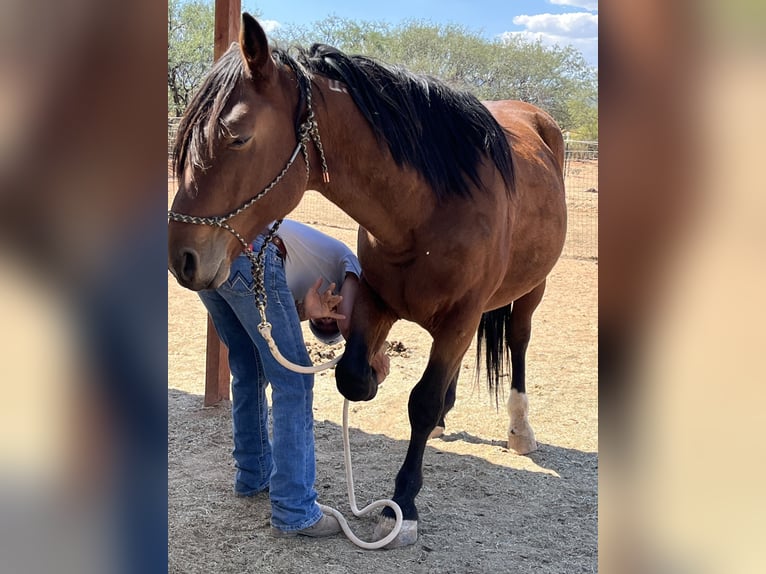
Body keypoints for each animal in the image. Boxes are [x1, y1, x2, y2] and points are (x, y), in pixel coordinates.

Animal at [168, 13, 564, 552]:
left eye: (238, 137)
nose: (181, 257)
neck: (429, 208)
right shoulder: (376, 299)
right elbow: (352, 377)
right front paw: (377, 376)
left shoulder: (460, 316)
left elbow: (420, 401)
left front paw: (405, 505)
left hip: (531, 292)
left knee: (518, 344)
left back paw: (520, 429)